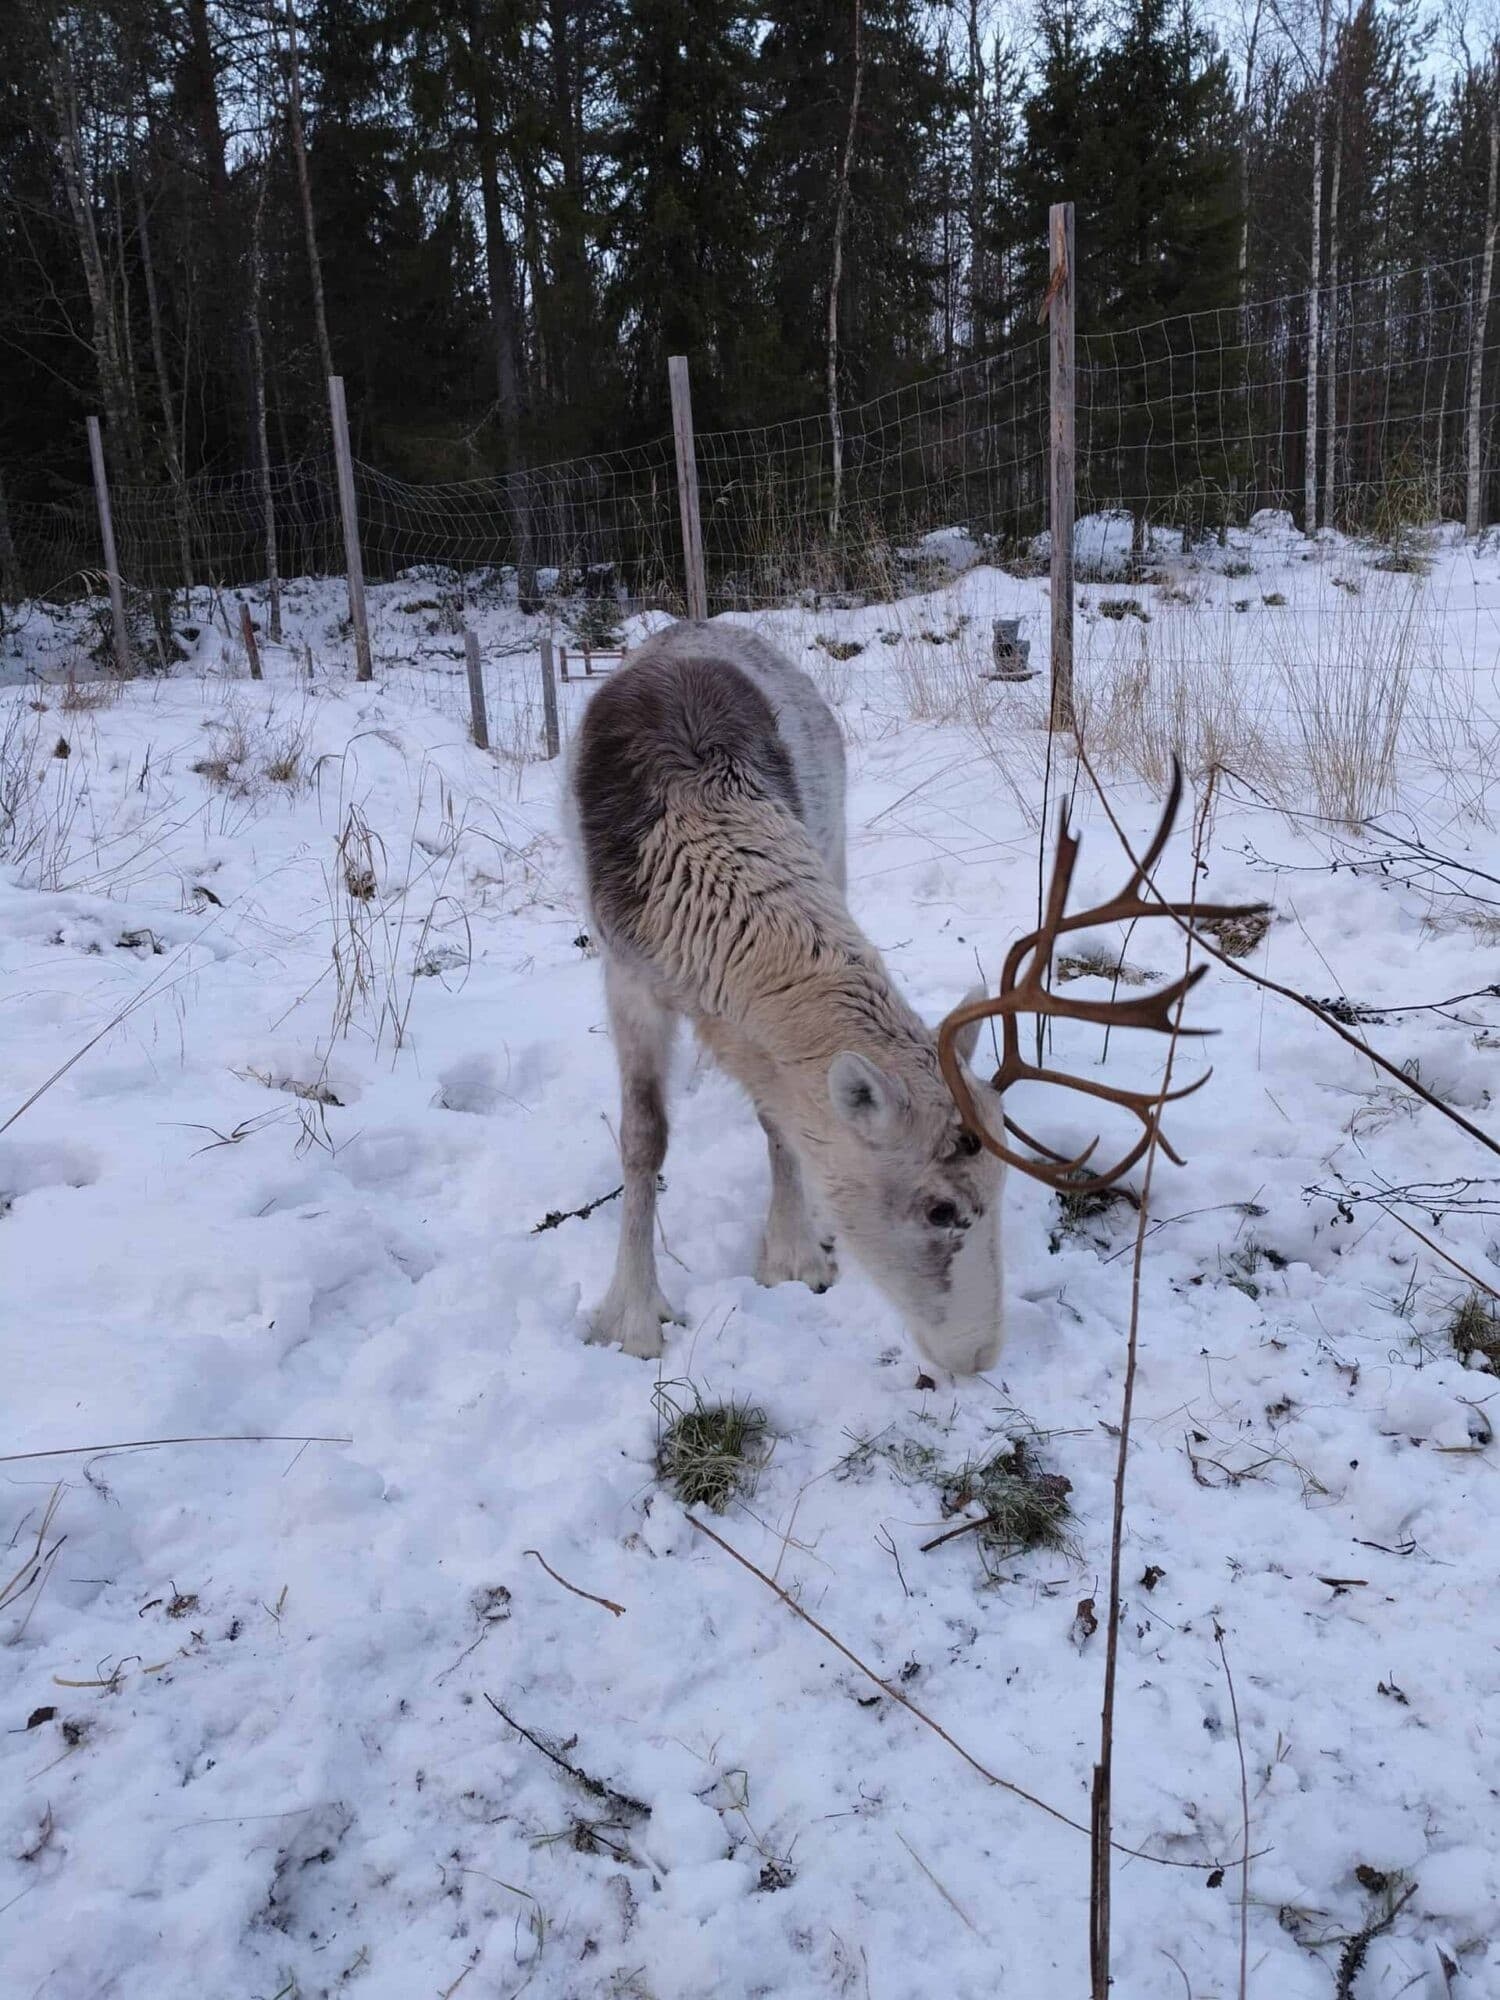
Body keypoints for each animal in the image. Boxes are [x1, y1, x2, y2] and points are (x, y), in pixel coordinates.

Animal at [570, 621, 1255, 1374]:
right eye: (941, 1210)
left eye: (1003, 1187)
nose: (978, 1356)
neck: (694, 817)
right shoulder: (625, 969)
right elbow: (644, 1139)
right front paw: (633, 1315)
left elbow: (779, 1114)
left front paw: (794, 1255)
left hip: (835, 842)